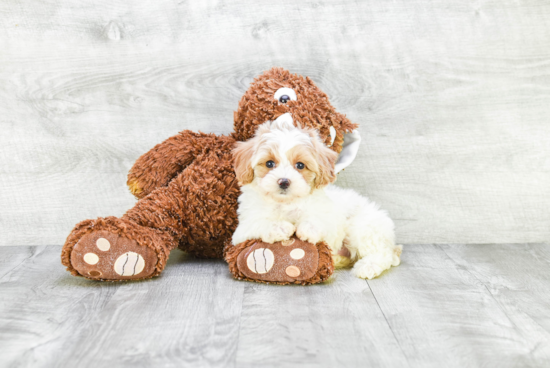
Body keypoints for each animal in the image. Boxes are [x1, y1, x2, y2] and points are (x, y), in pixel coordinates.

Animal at [231, 115, 404, 278]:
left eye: (300, 165)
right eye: (269, 163)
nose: (284, 182)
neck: (286, 202)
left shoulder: (330, 217)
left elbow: (322, 221)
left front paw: (307, 229)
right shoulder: (241, 230)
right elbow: (258, 223)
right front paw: (280, 227)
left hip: (363, 227)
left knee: (383, 254)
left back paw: (368, 266)